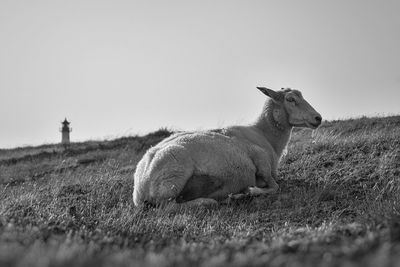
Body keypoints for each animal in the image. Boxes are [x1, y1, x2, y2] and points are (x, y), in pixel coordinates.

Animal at [134, 87, 322, 208]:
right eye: (290, 99)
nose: (318, 118)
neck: (264, 134)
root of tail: (141, 188)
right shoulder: (261, 162)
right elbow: (274, 186)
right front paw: (250, 191)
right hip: (173, 177)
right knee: (169, 207)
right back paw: (209, 201)